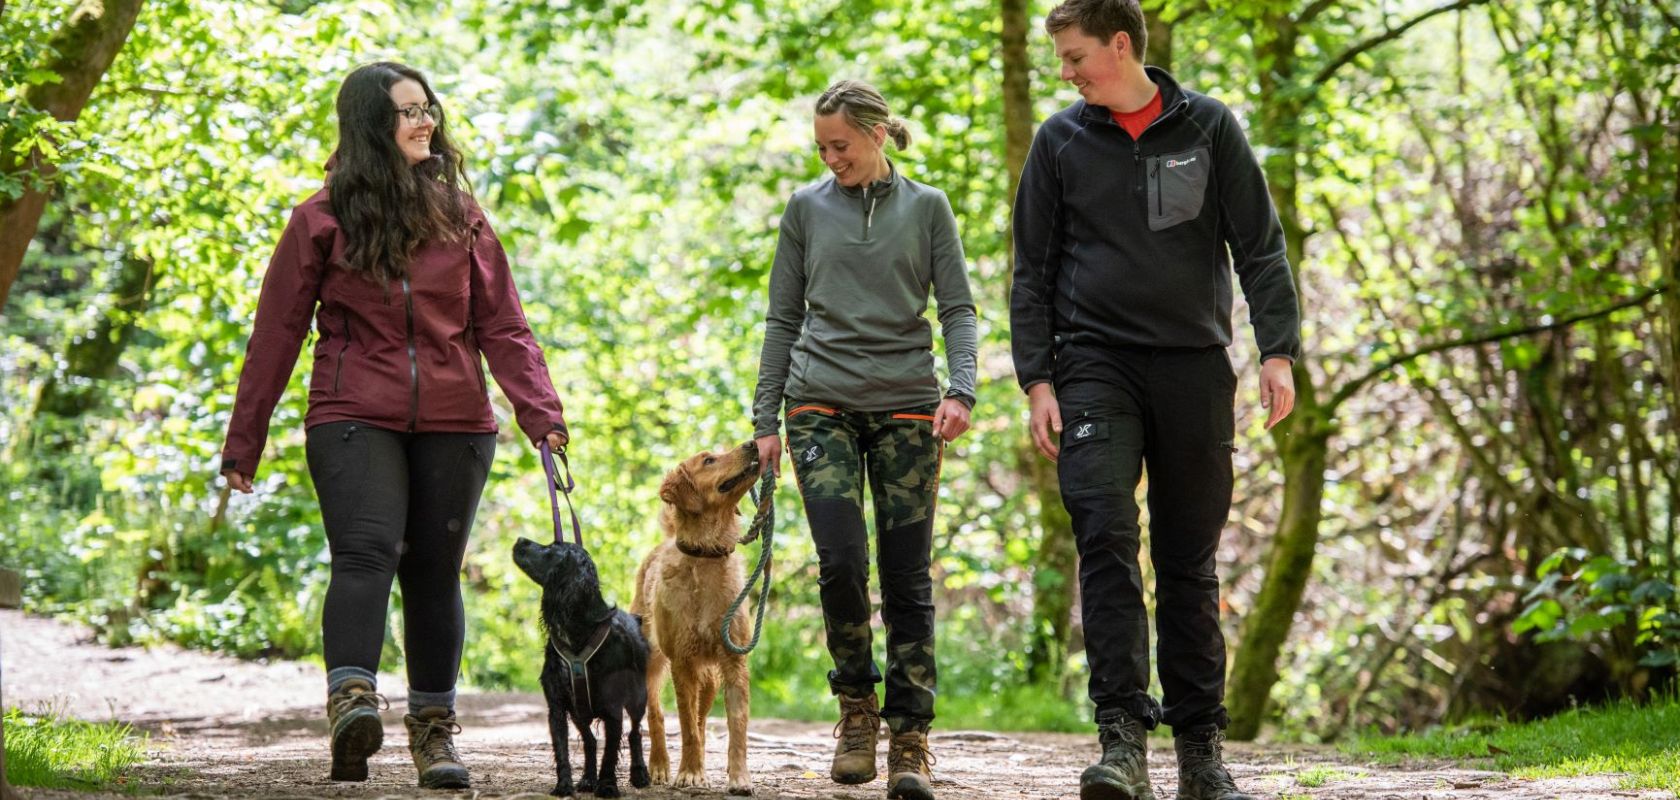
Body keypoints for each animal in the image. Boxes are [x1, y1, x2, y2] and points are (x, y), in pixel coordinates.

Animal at [510, 534, 648, 796]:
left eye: (553, 548)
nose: (520, 539)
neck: (577, 632)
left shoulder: (613, 707)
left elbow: (610, 751)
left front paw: (607, 786)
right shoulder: (557, 706)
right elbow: (562, 750)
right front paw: (564, 785)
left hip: (638, 698)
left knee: (635, 732)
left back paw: (639, 774)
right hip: (578, 711)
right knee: (590, 741)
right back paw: (587, 779)